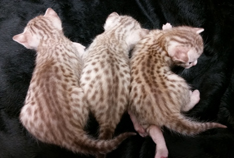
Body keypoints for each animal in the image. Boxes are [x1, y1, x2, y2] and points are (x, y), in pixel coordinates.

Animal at [128, 22, 227, 158]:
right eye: (190, 62)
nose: (194, 64)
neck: (161, 40)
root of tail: (166, 112)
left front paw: (167, 26)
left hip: (143, 115)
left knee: (154, 130)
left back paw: (161, 150)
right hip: (180, 82)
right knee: (185, 107)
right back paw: (195, 96)